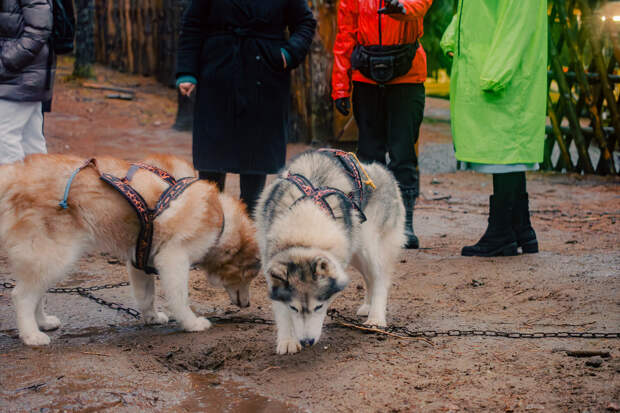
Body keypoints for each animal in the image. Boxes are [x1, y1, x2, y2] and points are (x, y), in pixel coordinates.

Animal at [0, 153, 260, 342]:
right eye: (248, 277)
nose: (248, 305)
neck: (220, 218)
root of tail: (15, 174)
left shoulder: (141, 258)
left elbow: (146, 296)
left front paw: (152, 317)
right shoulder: (173, 258)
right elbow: (179, 298)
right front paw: (191, 323)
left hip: (48, 260)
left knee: (37, 294)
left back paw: (43, 323)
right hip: (55, 256)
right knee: (21, 295)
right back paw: (31, 335)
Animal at [254, 150, 404, 352]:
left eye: (319, 307)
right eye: (294, 308)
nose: (307, 341)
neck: (304, 231)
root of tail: (382, 170)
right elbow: (282, 311)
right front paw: (287, 340)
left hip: (366, 245)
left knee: (379, 277)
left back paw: (376, 317)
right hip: (354, 251)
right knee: (369, 278)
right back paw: (367, 305)